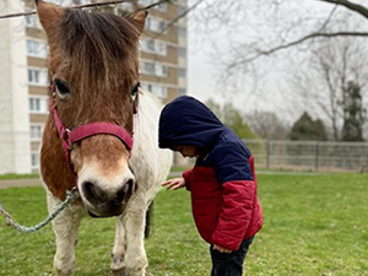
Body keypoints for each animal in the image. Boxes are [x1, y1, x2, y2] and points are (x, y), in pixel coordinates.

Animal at [34, 1, 172, 274]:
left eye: (134, 88)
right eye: (60, 86)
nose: (106, 189)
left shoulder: (135, 201)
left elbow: (137, 259)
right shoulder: (58, 207)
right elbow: (63, 262)